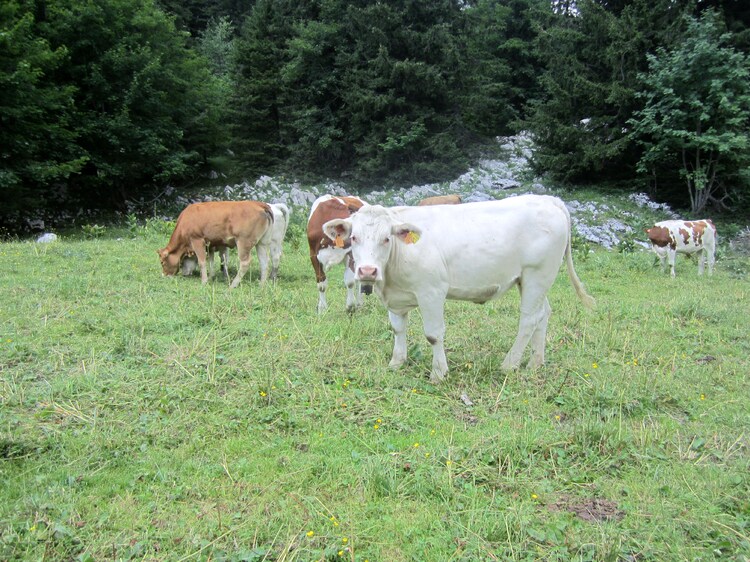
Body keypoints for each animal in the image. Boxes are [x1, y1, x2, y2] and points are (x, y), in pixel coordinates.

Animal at [326, 192, 596, 380]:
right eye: (354, 238)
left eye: (386, 238)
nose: (367, 271)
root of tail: (548, 199)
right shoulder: (397, 297)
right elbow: (398, 329)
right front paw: (396, 362)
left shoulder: (432, 291)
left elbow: (433, 334)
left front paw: (438, 373)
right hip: (531, 279)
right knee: (543, 314)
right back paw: (534, 363)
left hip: (538, 273)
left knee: (529, 319)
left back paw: (509, 364)